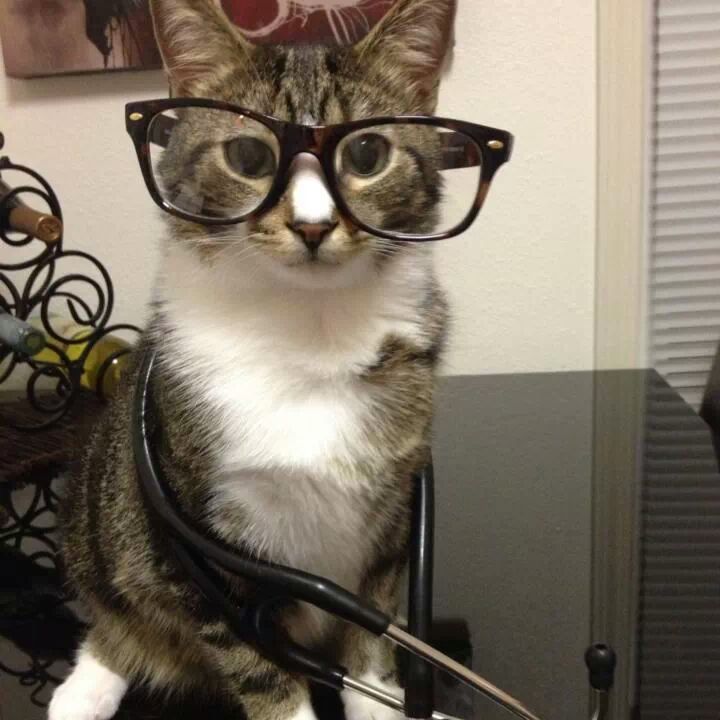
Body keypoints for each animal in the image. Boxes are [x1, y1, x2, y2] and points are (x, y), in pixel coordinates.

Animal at [48, 0, 454, 719]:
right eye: (248, 155)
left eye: (367, 153)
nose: (314, 226)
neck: (310, 330)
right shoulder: (197, 552)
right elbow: (259, 669)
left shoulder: (392, 527)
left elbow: (371, 642)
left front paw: (382, 700)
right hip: (103, 530)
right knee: (118, 624)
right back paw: (82, 692)